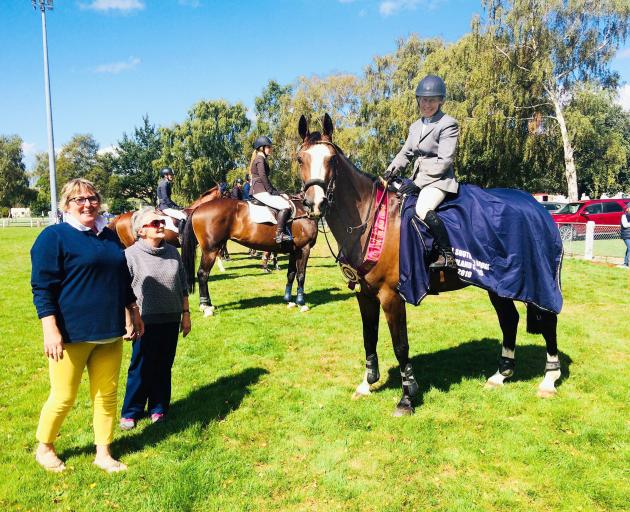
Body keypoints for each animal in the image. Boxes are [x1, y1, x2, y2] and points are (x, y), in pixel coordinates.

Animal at [183, 192, 320, 314]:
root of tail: (198, 208)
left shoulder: (294, 251)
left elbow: (291, 274)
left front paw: (289, 300)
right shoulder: (304, 249)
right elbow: (301, 275)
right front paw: (301, 303)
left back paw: (208, 304)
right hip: (210, 250)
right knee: (203, 274)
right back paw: (206, 307)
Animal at [298, 113, 564, 416]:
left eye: (331, 159)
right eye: (300, 159)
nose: (314, 204)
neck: (371, 220)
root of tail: (537, 206)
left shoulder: (391, 296)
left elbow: (400, 345)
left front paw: (406, 397)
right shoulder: (364, 294)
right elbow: (369, 337)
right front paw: (367, 383)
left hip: (535, 281)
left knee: (548, 321)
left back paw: (549, 380)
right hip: (499, 284)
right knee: (509, 319)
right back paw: (501, 375)